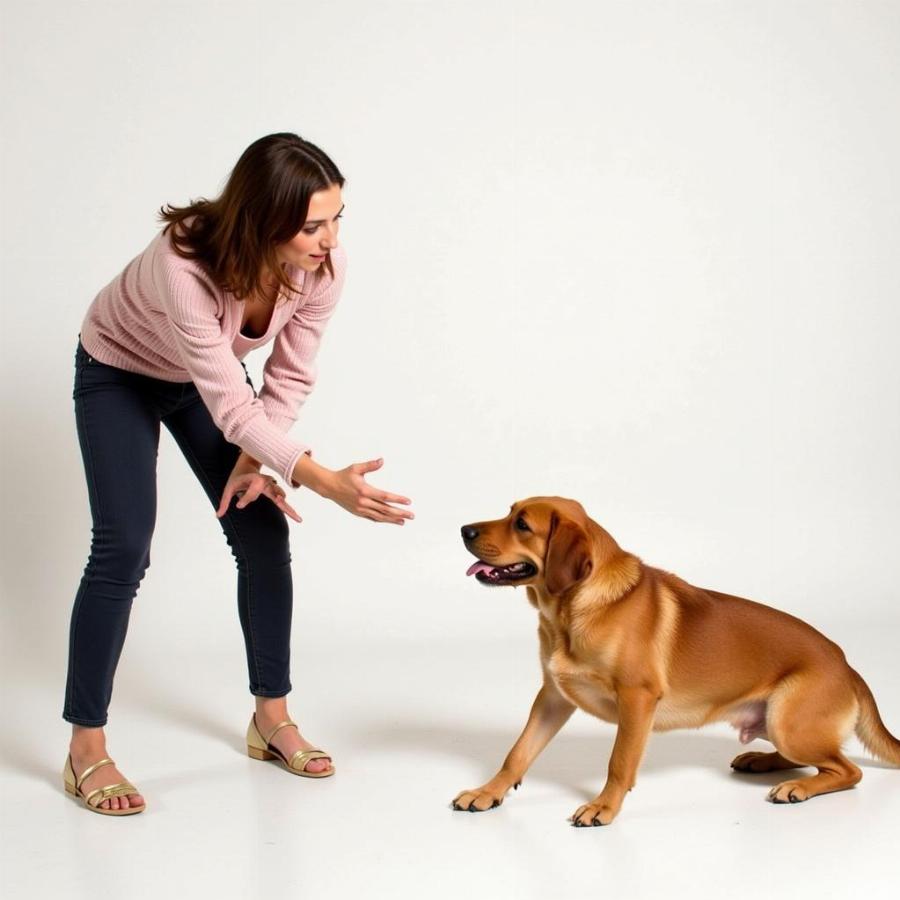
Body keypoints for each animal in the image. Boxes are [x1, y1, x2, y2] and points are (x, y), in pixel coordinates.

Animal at [458, 496, 900, 828]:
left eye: (522, 524)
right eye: (508, 512)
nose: (464, 530)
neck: (574, 609)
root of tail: (847, 665)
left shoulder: (636, 699)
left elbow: (619, 762)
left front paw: (603, 807)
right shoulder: (552, 698)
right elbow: (517, 753)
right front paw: (487, 792)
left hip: (788, 721)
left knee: (846, 770)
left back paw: (797, 788)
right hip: (778, 724)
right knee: (813, 761)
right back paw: (761, 761)